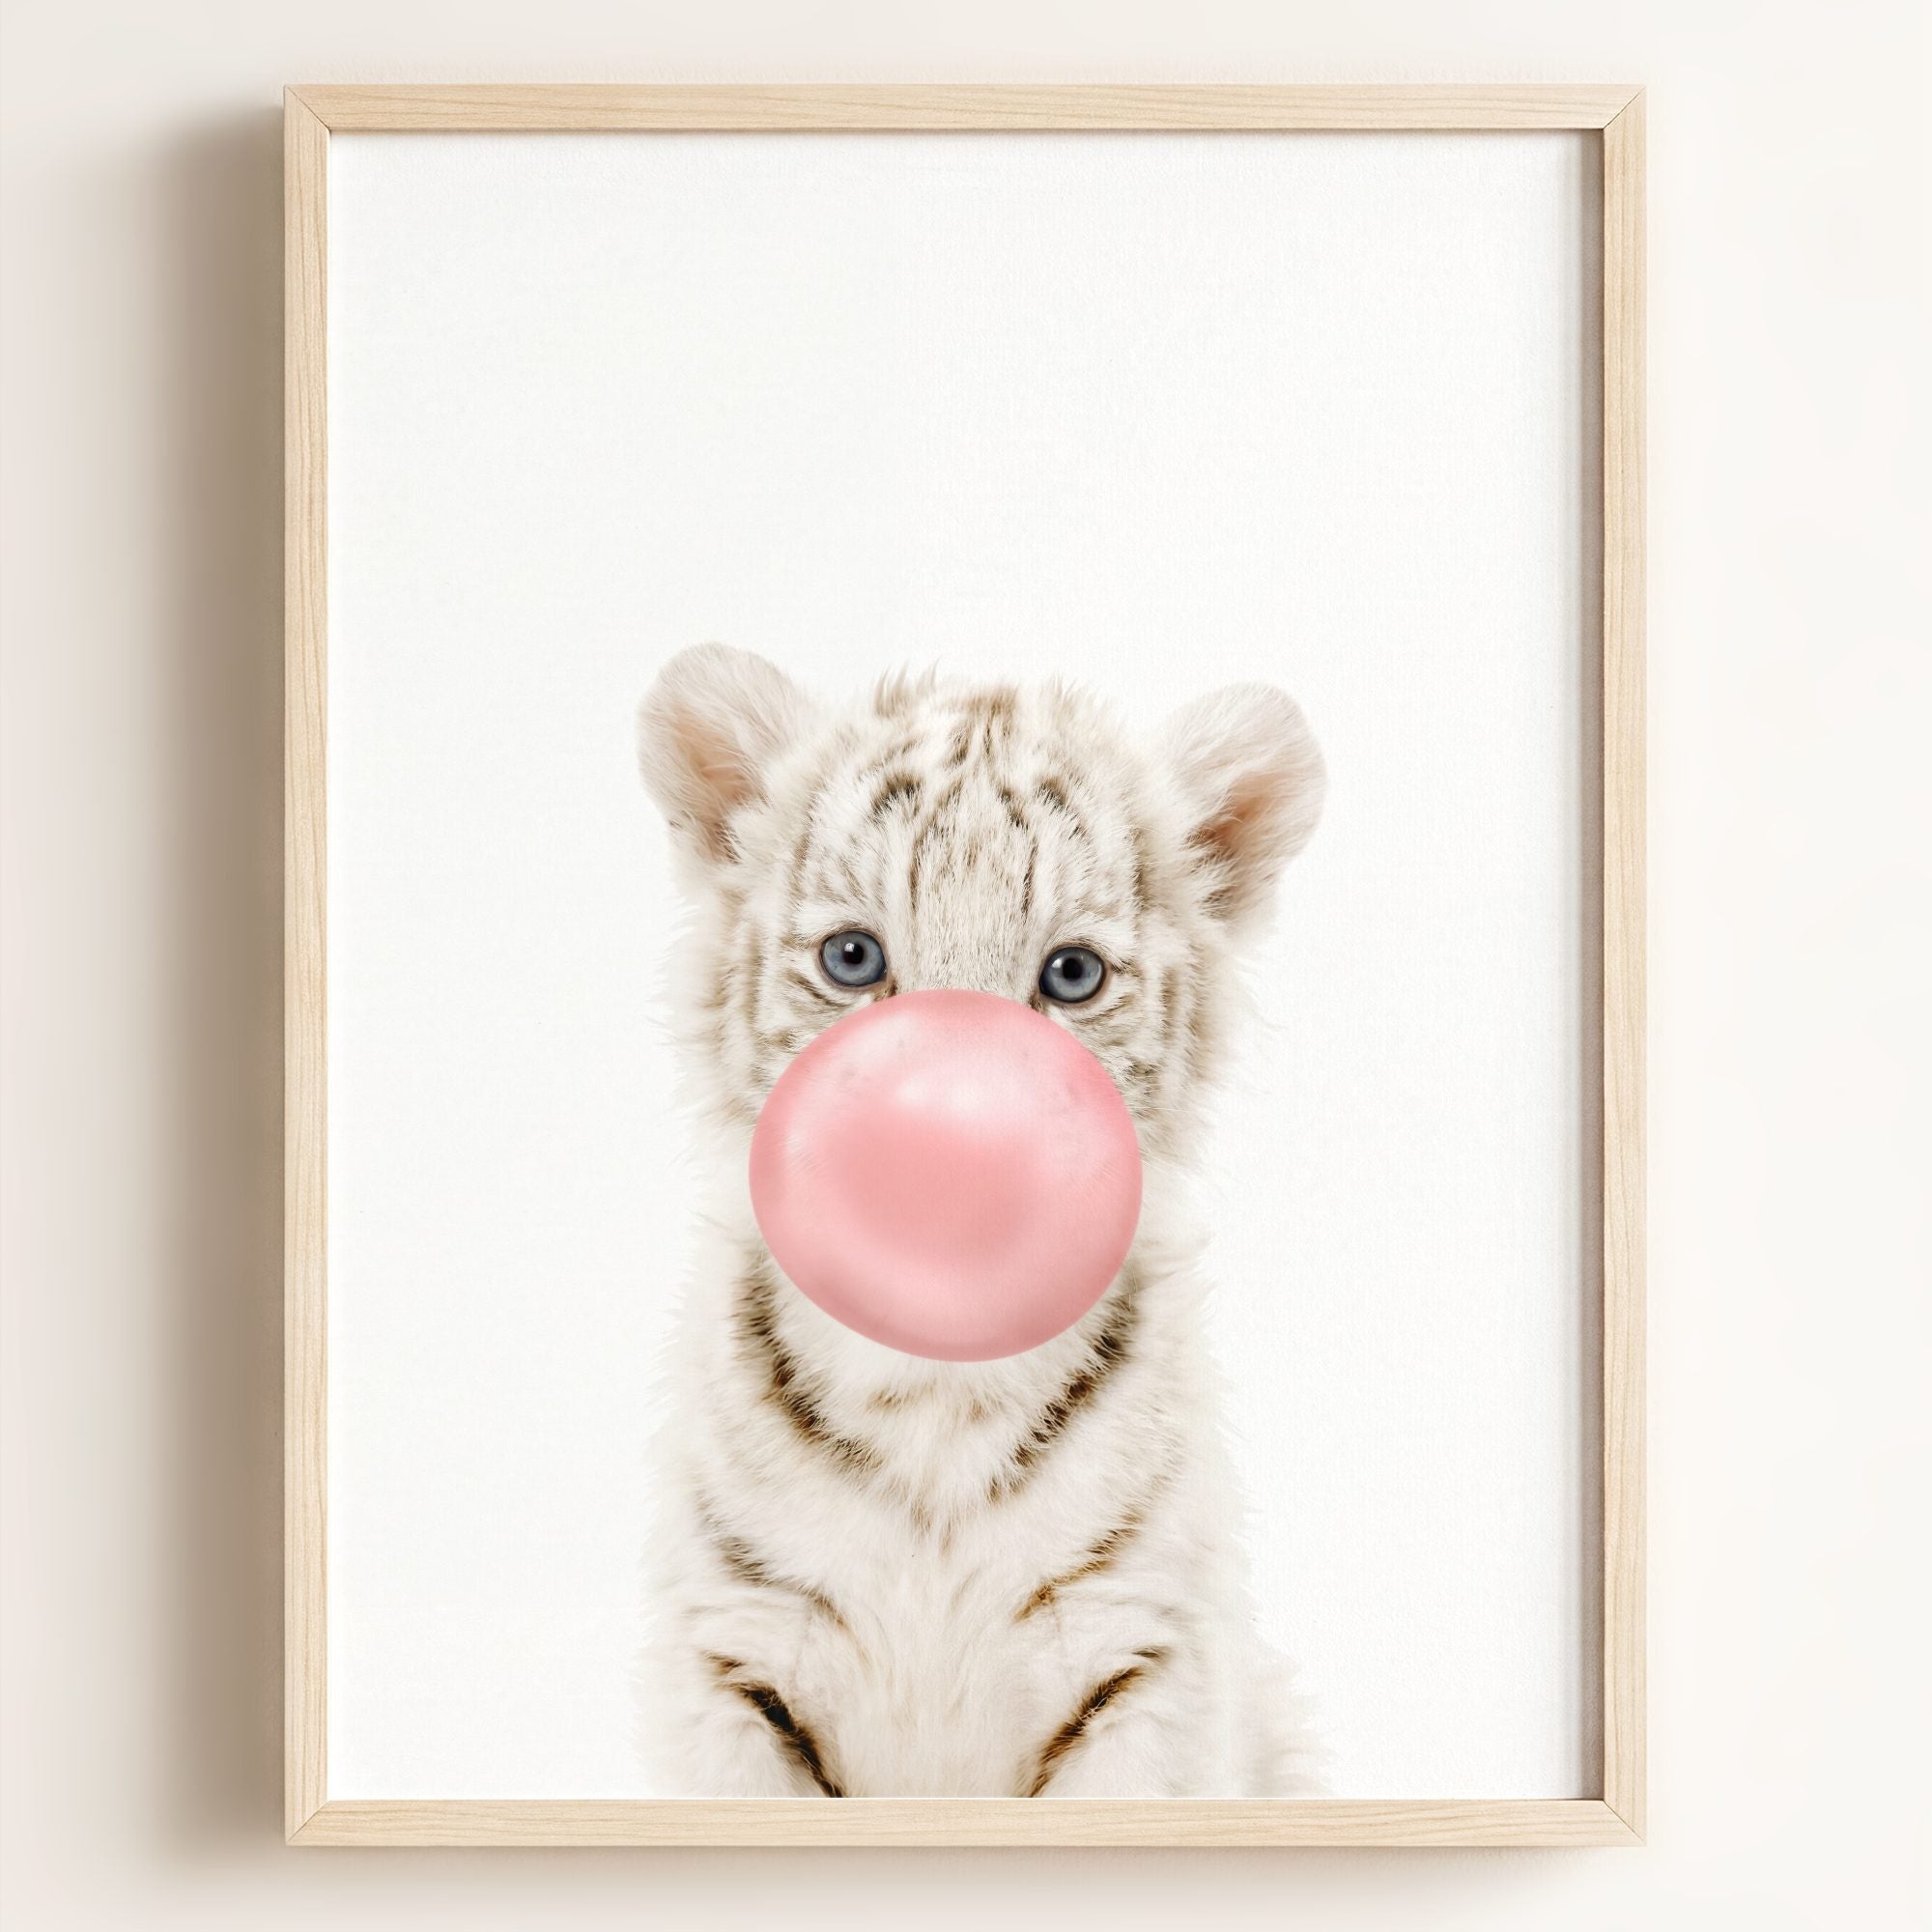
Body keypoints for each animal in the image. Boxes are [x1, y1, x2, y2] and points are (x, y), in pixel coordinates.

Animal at [634, 642, 1327, 1797]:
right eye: (853, 959)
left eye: (1071, 974)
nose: (952, 1152)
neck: (934, 1395)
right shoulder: (731, 1656)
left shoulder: (1144, 1660)